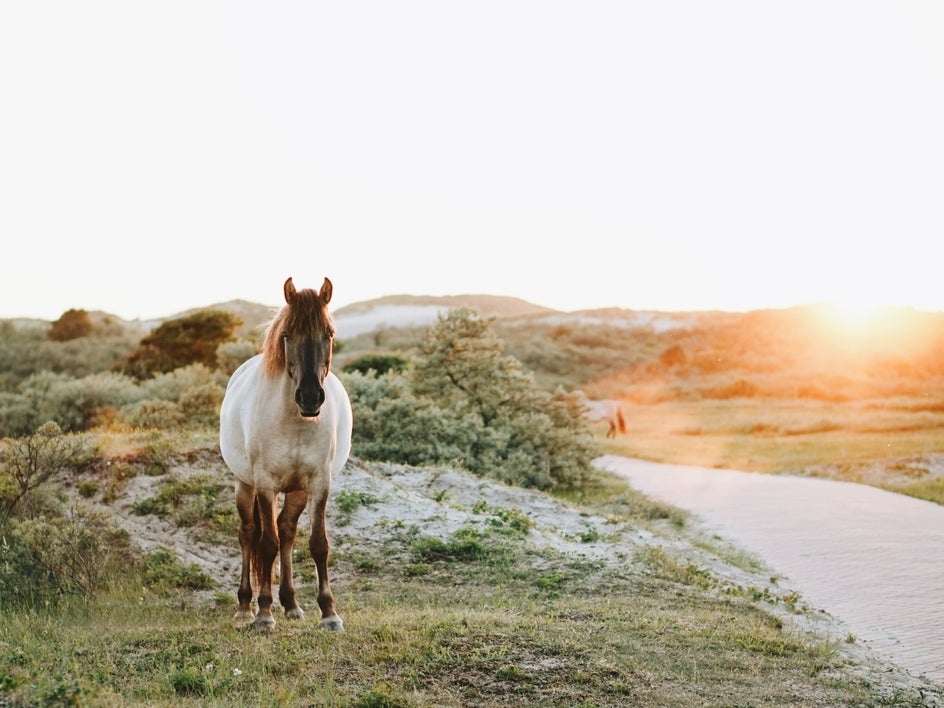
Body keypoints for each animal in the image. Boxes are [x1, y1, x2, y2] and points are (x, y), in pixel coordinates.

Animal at [219, 276, 352, 632]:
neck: (295, 422)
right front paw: (264, 614)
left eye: (329, 333)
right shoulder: (265, 484)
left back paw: (291, 603)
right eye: (287, 335)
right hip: (244, 484)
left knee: (288, 532)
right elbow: (267, 544)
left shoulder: (319, 484)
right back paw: (245, 606)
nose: (310, 397)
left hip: (296, 491)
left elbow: (318, 544)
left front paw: (329, 612)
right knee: (249, 534)